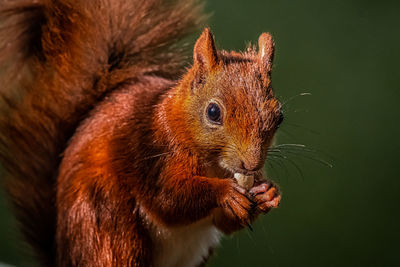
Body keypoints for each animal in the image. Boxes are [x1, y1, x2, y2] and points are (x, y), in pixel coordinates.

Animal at [0, 0, 282, 267]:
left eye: (279, 116)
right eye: (213, 112)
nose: (251, 164)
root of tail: (63, 255)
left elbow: (224, 223)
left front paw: (269, 192)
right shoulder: (153, 152)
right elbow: (168, 199)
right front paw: (225, 192)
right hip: (109, 224)